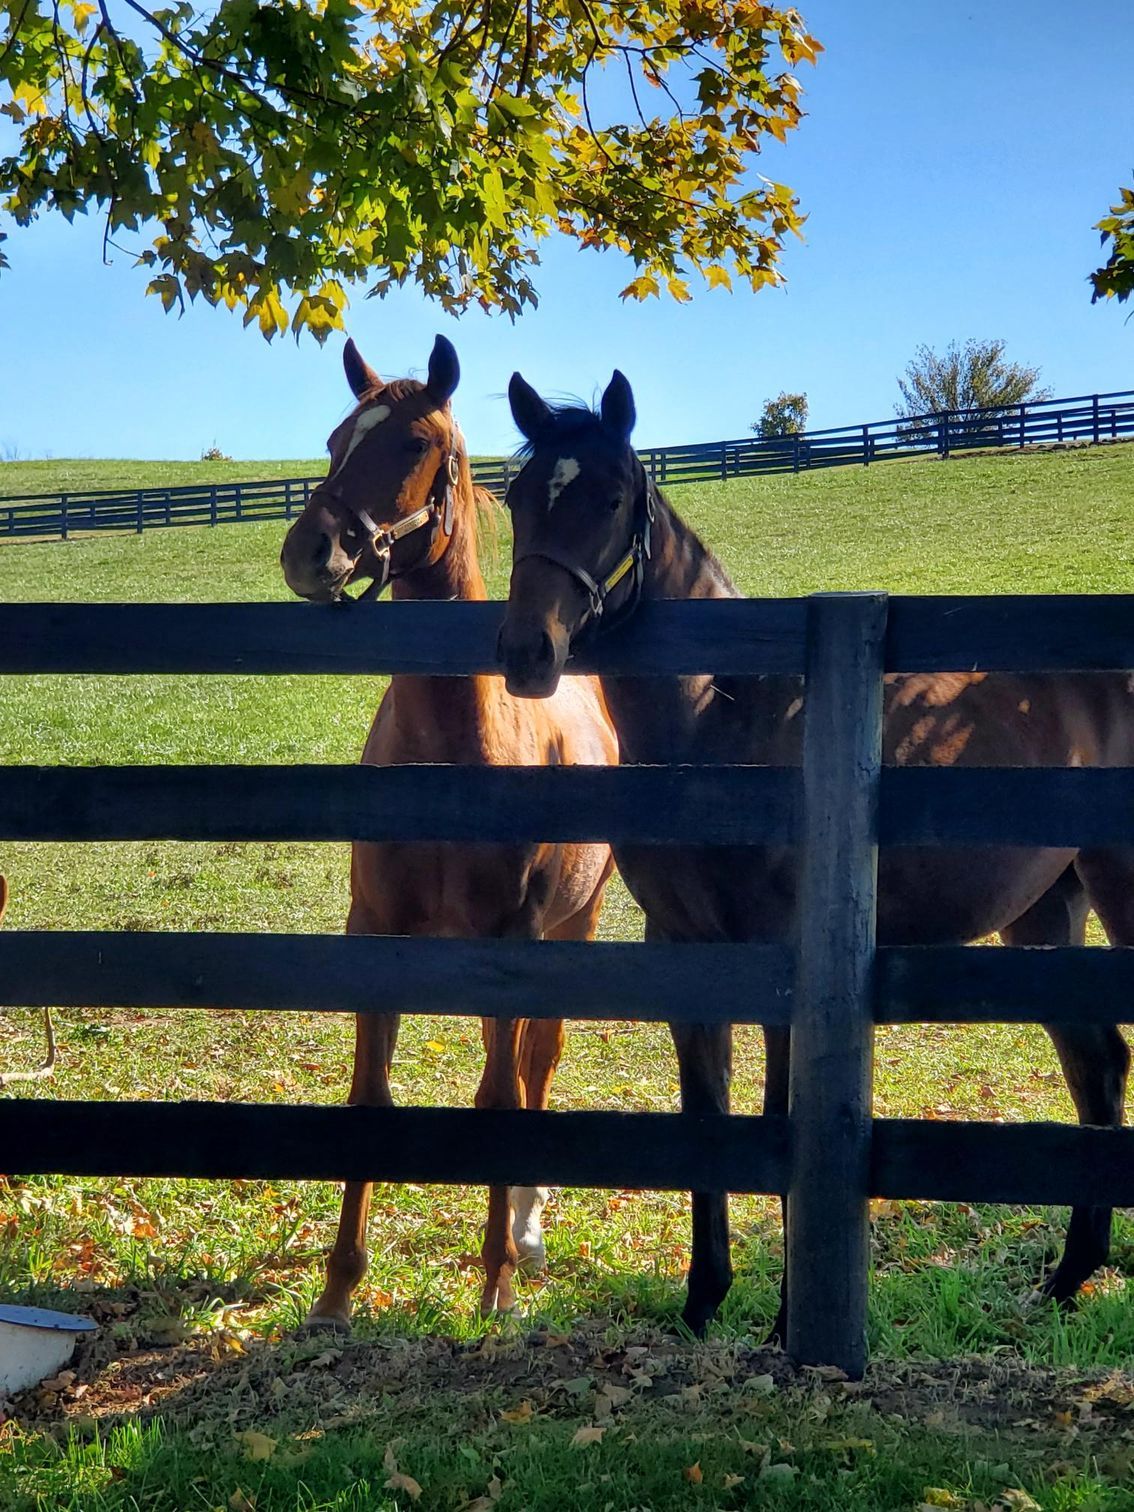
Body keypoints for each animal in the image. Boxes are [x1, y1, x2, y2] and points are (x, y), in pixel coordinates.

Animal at [279, 336, 617, 1325]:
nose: (311, 551)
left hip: (574, 928)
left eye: (417, 443)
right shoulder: (374, 932)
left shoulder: (511, 942)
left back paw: (526, 1234)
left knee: (538, 1061)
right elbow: (369, 1096)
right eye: (335, 440)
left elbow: (499, 1095)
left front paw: (494, 1281)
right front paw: (337, 1289)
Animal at [496, 367, 1131, 1343]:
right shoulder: (687, 954)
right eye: (519, 497)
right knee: (1094, 1066)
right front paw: (703, 1303)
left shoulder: (785, 967)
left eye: (609, 497)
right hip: (1042, 915)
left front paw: (790, 1320)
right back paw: (1067, 1279)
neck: (726, 718)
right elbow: (708, 1119)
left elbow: (779, 1116)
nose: (528, 652)